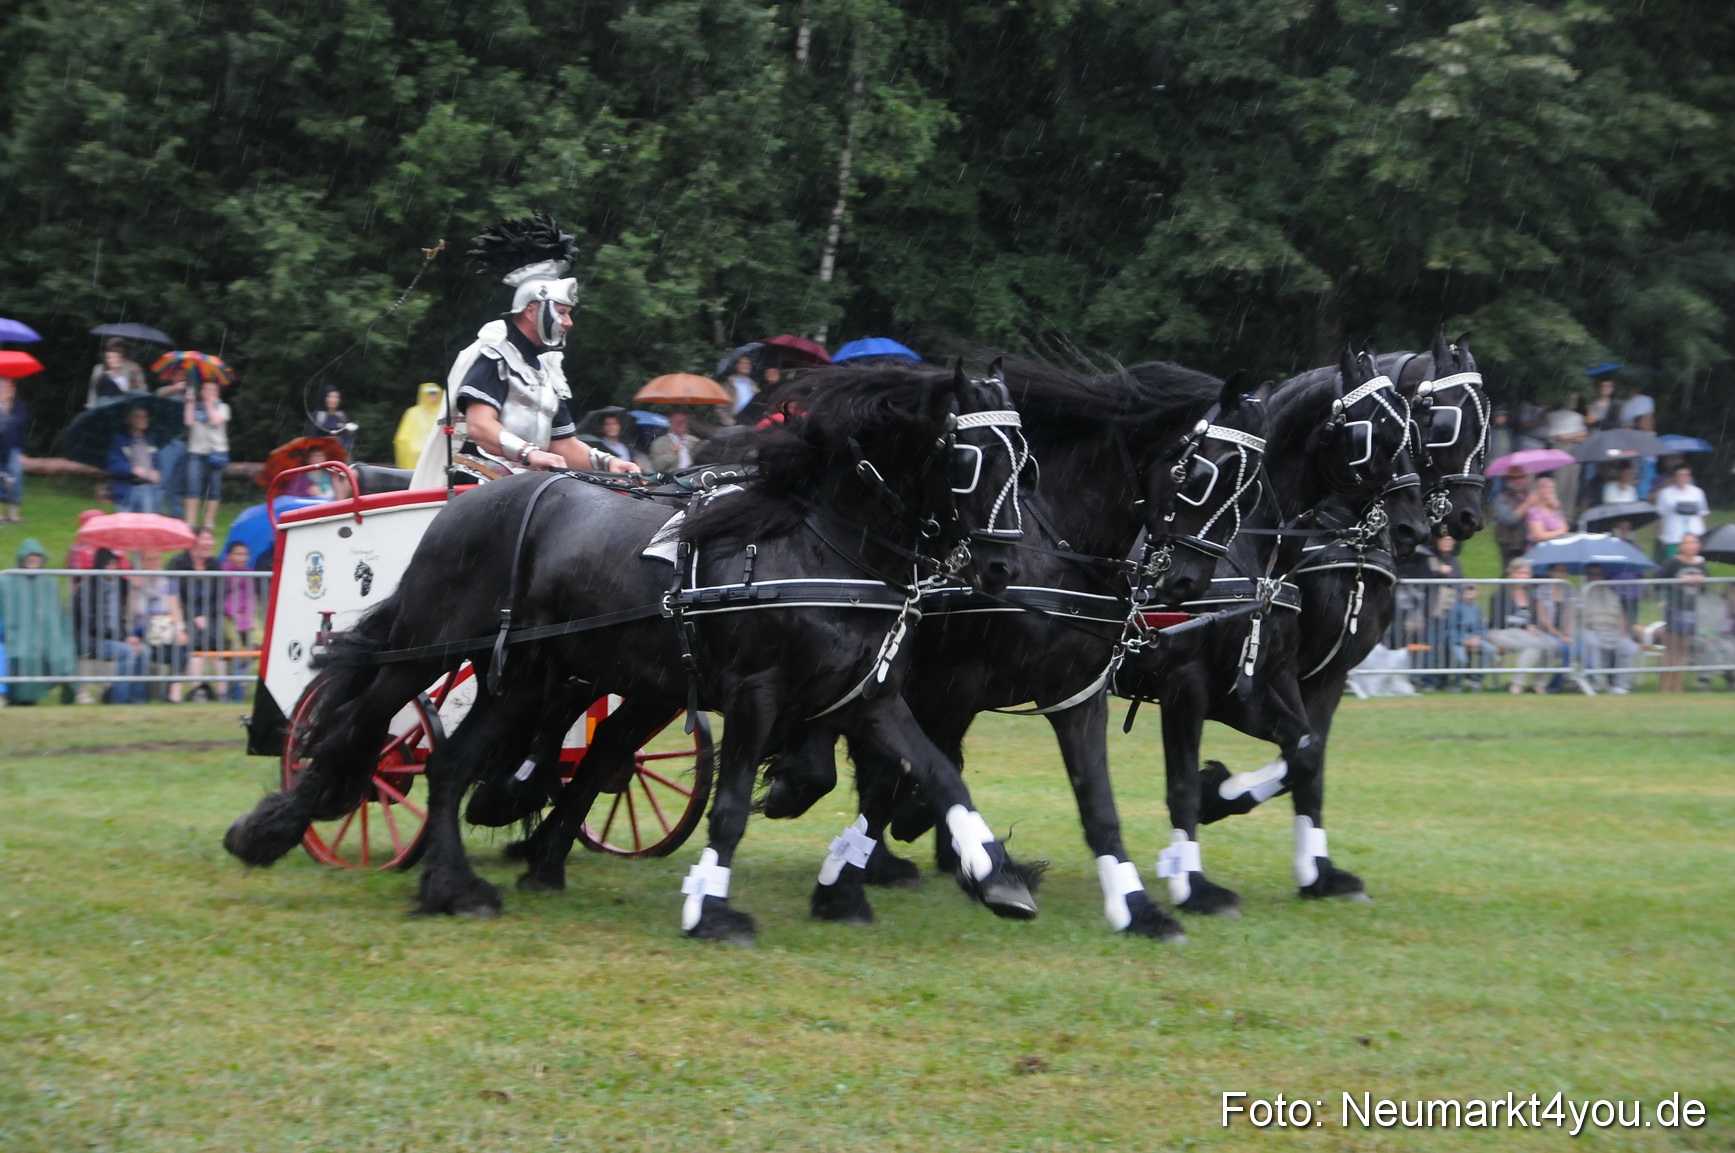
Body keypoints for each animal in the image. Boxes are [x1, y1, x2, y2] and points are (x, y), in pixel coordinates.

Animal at [223, 363, 1043, 944]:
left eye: (1026, 460)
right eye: (969, 458)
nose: (1003, 566)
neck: (815, 543)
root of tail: (464, 504)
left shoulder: (867, 695)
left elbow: (938, 772)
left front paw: (996, 875)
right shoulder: (757, 694)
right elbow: (732, 807)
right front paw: (711, 910)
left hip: (522, 678)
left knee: (454, 764)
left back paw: (455, 886)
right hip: (429, 649)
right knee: (358, 729)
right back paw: (280, 828)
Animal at [751, 358, 1270, 941]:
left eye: (1252, 492)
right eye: (1204, 476)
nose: (1188, 582)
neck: (1058, 555)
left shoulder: (1076, 696)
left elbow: (1097, 803)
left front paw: (1137, 907)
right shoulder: (953, 686)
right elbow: (905, 774)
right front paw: (845, 885)